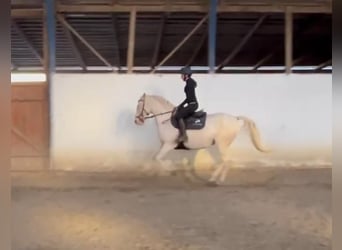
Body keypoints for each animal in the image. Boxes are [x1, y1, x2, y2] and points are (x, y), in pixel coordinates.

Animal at [134, 93, 270, 185]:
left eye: (139, 104)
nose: (137, 121)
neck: (166, 120)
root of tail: (236, 119)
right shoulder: (163, 145)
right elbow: (155, 157)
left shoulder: (169, 144)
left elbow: (158, 158)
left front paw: (171, 170)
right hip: (221, 145)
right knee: (224, 161)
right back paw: (214, 179)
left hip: (222, 144)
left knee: (227, 161)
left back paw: (216, 180)